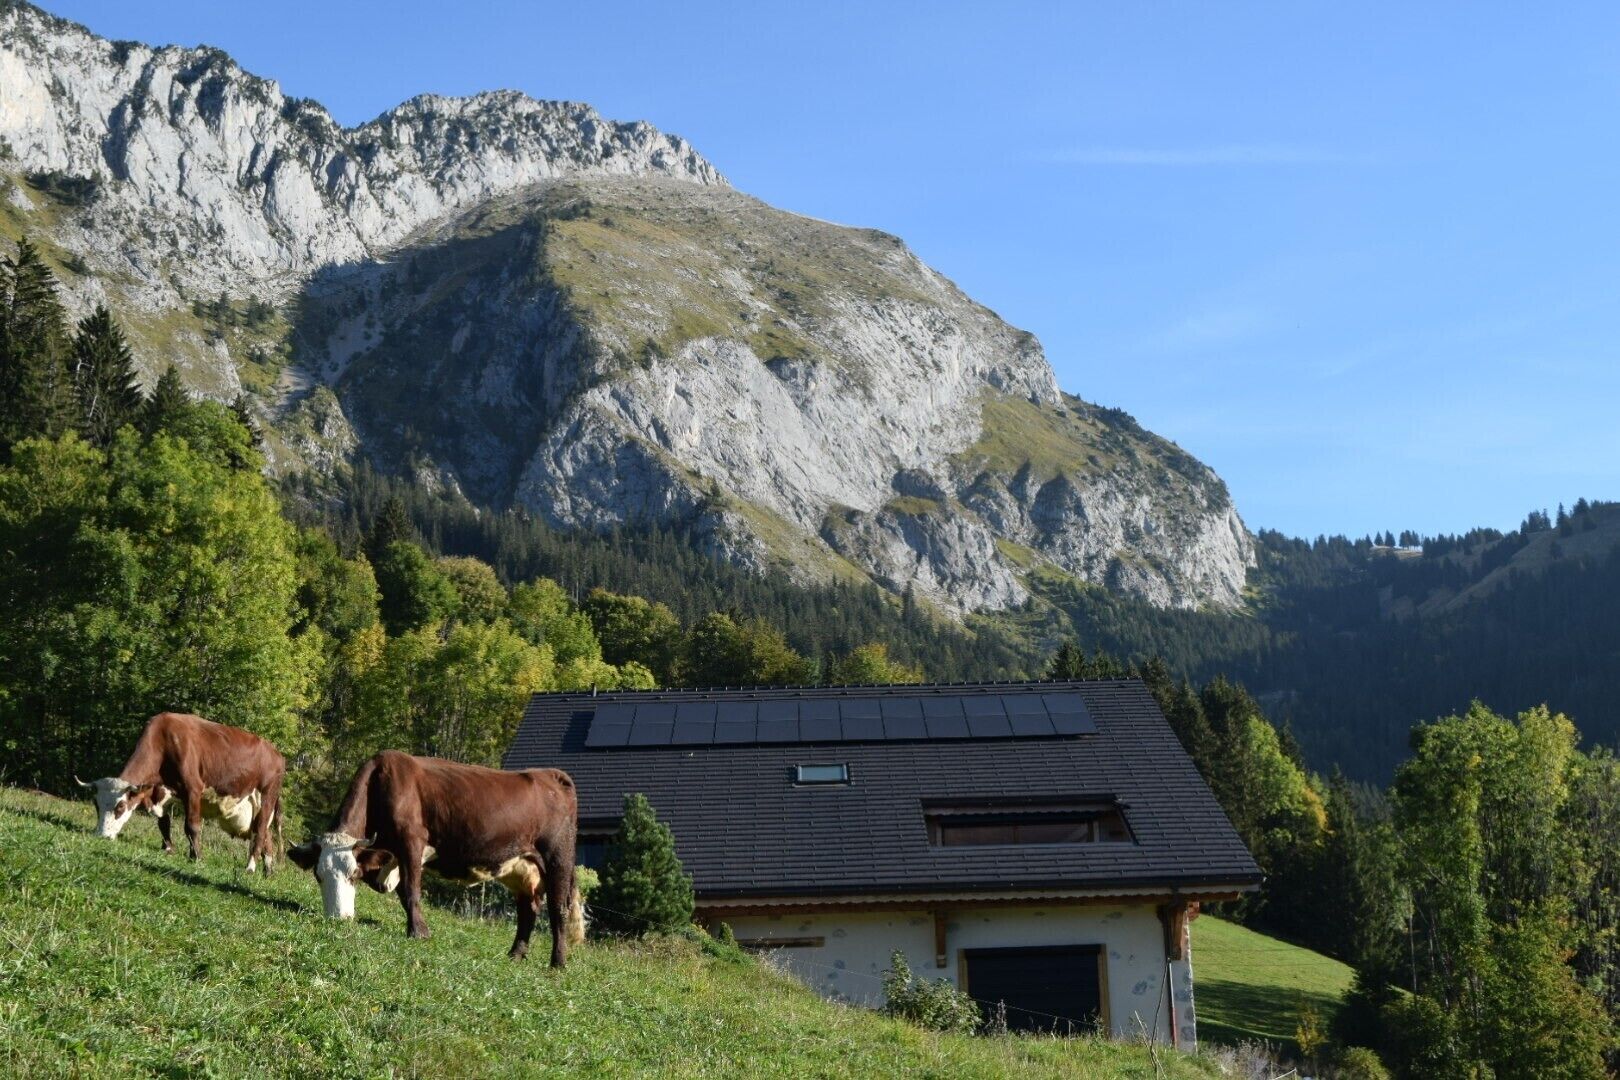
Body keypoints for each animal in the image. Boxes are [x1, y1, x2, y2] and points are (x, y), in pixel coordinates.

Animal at [78, 712, 285, 874]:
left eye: (120, 806)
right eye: (96, 805)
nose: (101, 835)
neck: (163, 741)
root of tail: (277, 754)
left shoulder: (192, 788)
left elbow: (191, 826)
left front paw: (196, 857)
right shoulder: (162, 792)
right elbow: (163, 823)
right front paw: (168, 848)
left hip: (267, 797)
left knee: (259, 832)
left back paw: (250, 868)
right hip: (254, 806)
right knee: (266, 838)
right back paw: (268, 872)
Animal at [289, 751, 584, 967]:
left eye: (354, 874)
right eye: (318, 875)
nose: (338, 918)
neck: (381, 785)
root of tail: (551, 775)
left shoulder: (411, 842)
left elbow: (411, 891)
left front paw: (418, 933)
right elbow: (403, 893)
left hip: (558, 858)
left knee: (558, 907)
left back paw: (558, 962)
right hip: (521, 867)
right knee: (528, 908)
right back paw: (516, 955)